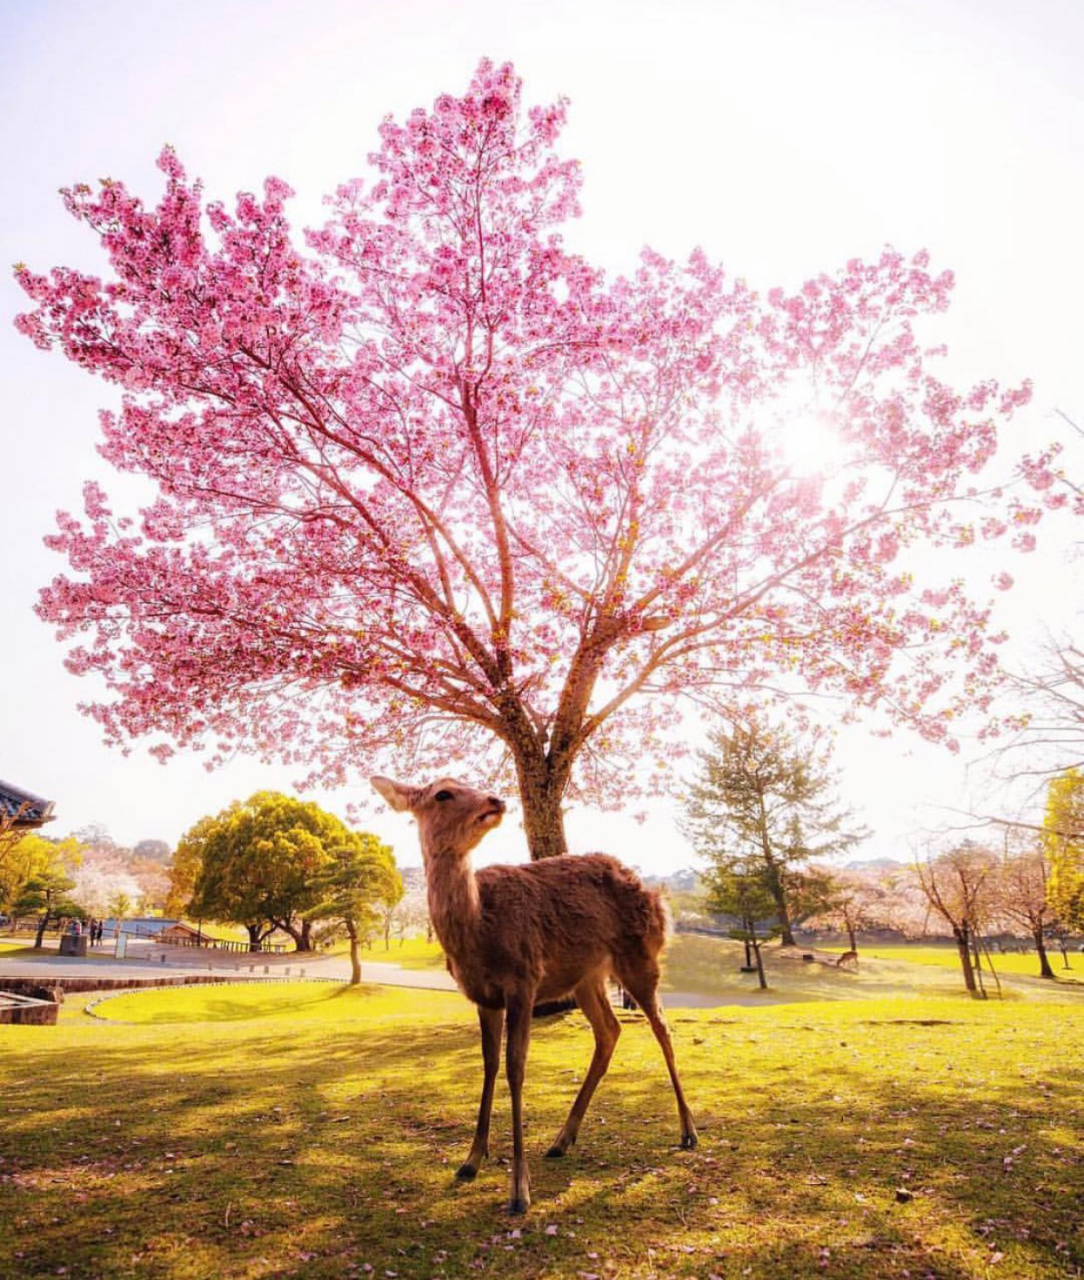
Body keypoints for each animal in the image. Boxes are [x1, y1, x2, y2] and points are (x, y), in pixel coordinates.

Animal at [371, 773, 696, 1213]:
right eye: (443, 793)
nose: (495, 800)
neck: (479, 932)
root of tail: (655, 894)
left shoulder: (523, 980)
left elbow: (515, 1067)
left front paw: (519, 1190)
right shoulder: (484, 997)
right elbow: (489, 1065)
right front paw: (471, 1161)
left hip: (640, 955)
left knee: (662, 1027)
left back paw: (688, 1131)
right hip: (587, 977)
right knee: (610, 1030)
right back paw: (562, 1139)